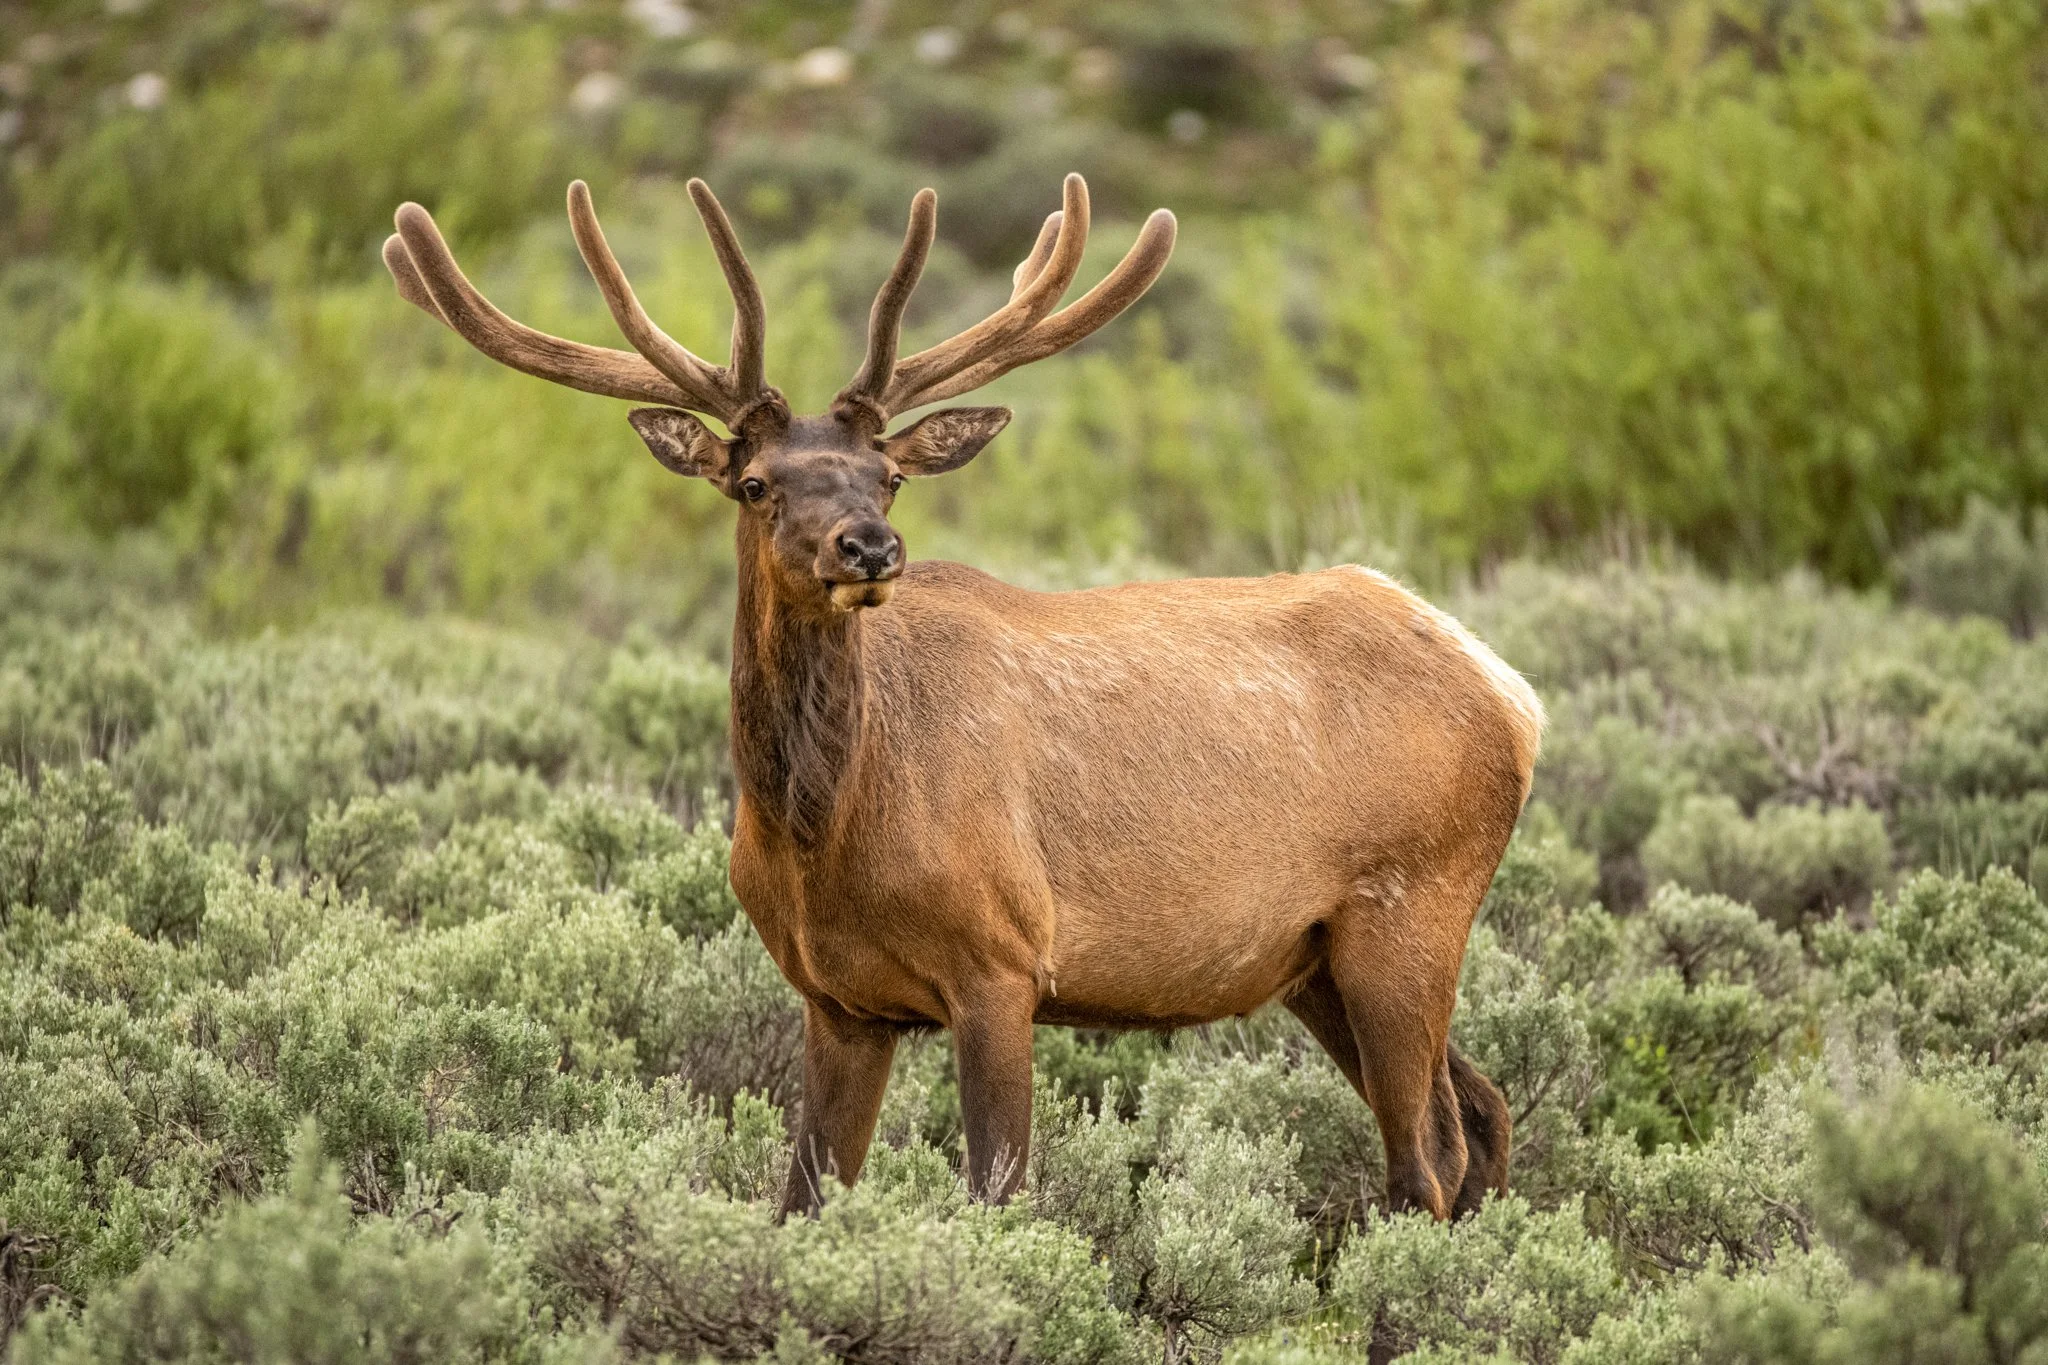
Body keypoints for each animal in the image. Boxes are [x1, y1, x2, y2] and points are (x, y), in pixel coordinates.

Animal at [383, 173, 1541, 1222]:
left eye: (887, 477)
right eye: (755, 484)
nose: (869, 546)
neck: (824, 835)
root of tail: (1509, 689)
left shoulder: (1003, 961)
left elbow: (997, 1199)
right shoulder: (837, 1000)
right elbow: (802, 1203)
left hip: (1410, 905)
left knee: (1425, 1158)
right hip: (1317, 957)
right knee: (1481, 1115)